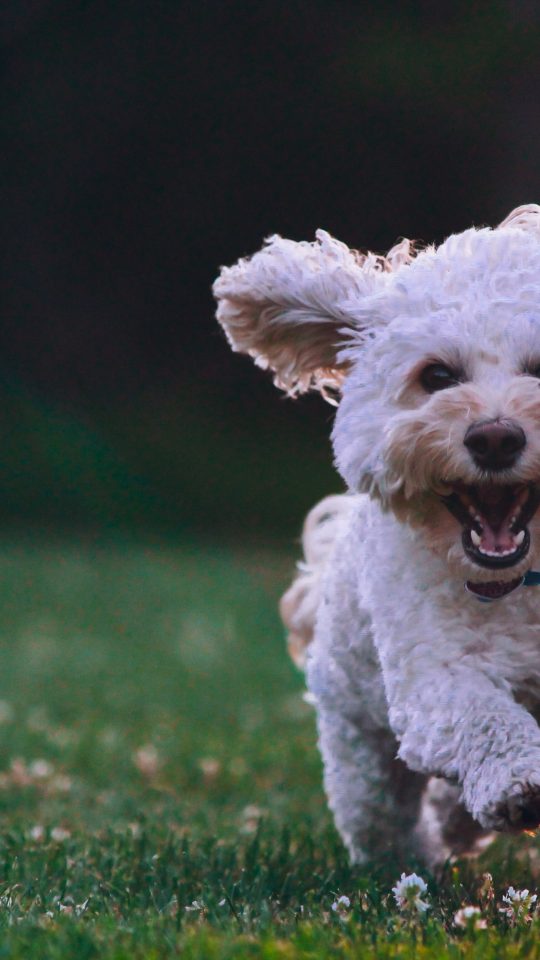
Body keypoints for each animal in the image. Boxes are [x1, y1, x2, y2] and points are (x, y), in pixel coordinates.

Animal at [214, 206, 540, 868]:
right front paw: (520, 780)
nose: (495, 437)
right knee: (381, 817)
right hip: (359, 747)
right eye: (437, 375)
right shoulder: (432, 674)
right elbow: (483, 717)